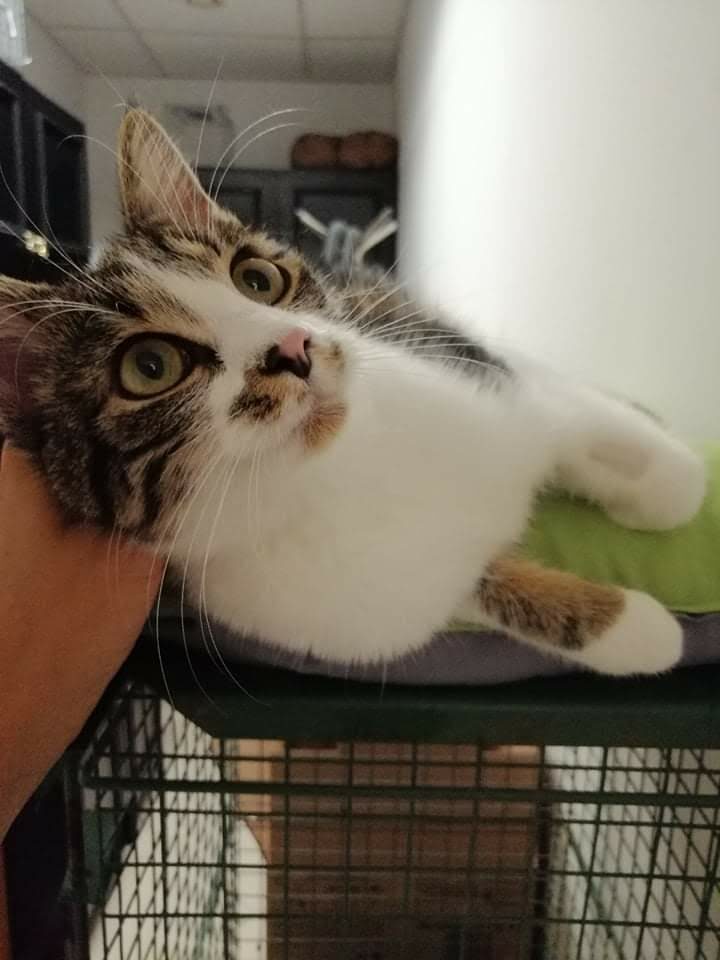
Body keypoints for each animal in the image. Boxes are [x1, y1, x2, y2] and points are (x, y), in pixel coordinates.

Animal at [0, 110, 707, 675]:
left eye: (257, 278)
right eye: (150, 366)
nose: (293, 347)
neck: (337, 470)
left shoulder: (463, 363)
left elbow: (573, 421)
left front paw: (672, 486)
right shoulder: (366, 601)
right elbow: (480, 583)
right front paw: (638, 632)